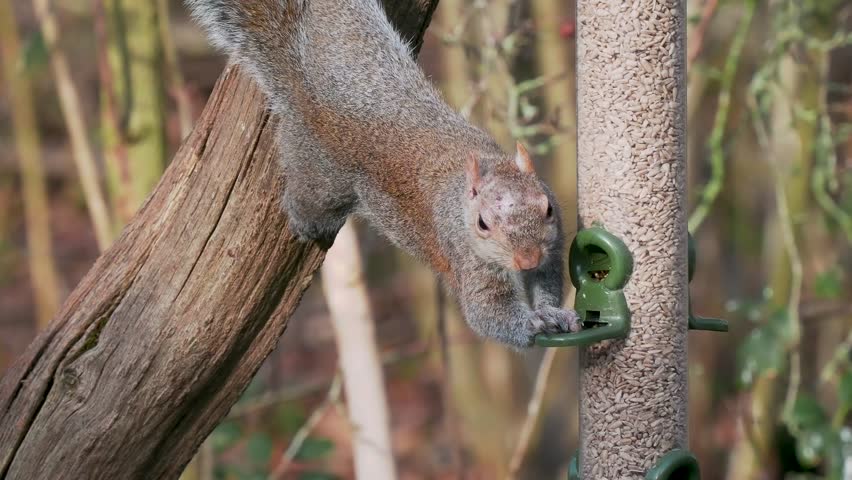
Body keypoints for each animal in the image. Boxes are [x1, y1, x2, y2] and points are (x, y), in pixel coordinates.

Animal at [186, 0, 581, 348]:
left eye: (547, 208)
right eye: (482, 224)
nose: (527, 258)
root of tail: (311, 96)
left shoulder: (553, 245)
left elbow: (547, 281)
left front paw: (554, 312)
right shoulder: (465, 255)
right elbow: (488, 314)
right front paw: (532, 323)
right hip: (319, 178)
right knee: (308, 202)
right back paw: (302, 223)